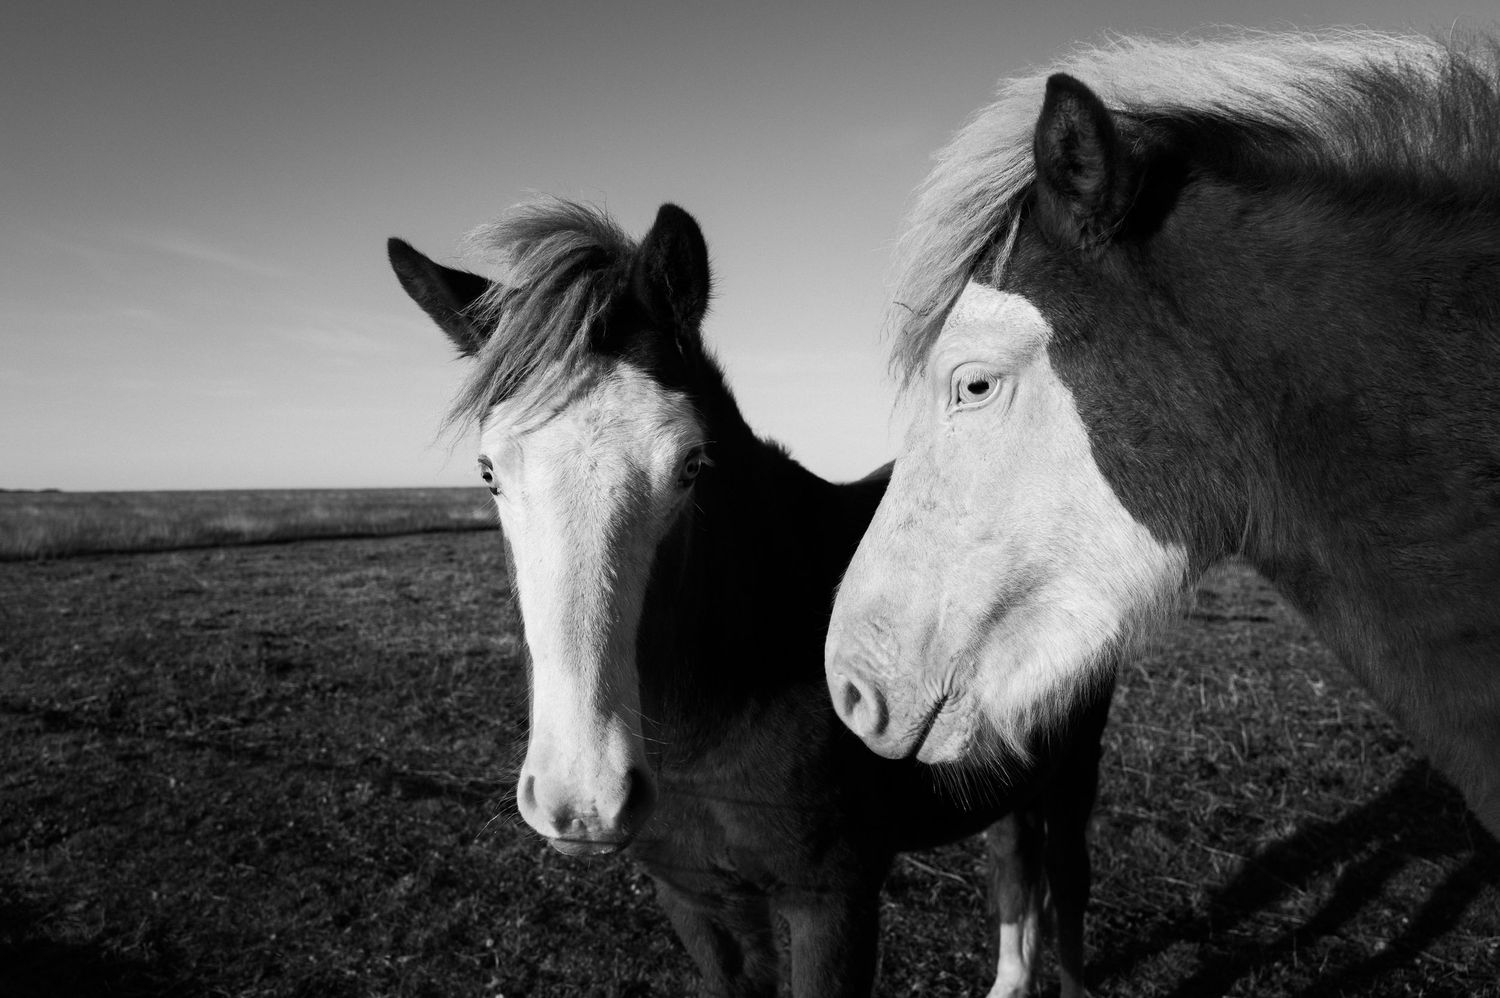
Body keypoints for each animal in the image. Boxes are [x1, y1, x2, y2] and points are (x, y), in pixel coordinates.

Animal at [388, 199, 1112, 997]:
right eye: (489, 471)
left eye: (691, 465)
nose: (583, 799)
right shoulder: (695, 898)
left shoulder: (832, 904)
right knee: (1013, 864)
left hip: (1075, 768)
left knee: (1065, 883)